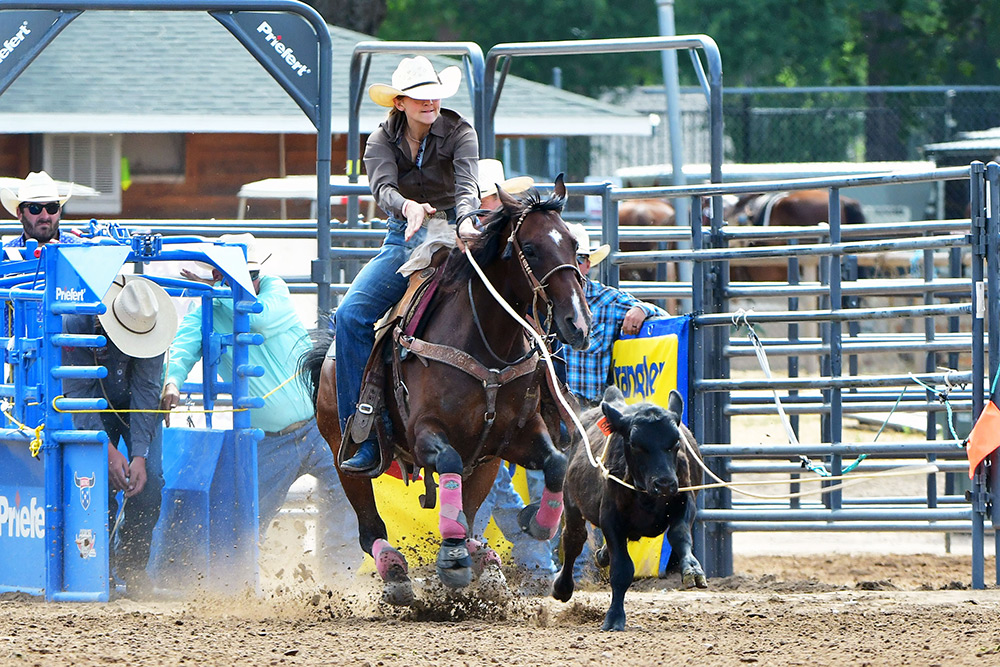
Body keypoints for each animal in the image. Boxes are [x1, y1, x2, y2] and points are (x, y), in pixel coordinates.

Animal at [300, 177, 588, 604]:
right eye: (532, 248)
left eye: (571, 243)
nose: (578, 324)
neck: (485, 343)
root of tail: (330, 354)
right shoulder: (425, 432)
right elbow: (448, 460)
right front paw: (451, 558)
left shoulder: (515, 435)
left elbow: (554, 463)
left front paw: (535, 524)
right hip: (345, 456)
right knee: (371, 531)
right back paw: (398, 571)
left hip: (485, 466)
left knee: (469, 512)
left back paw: (481, 558)